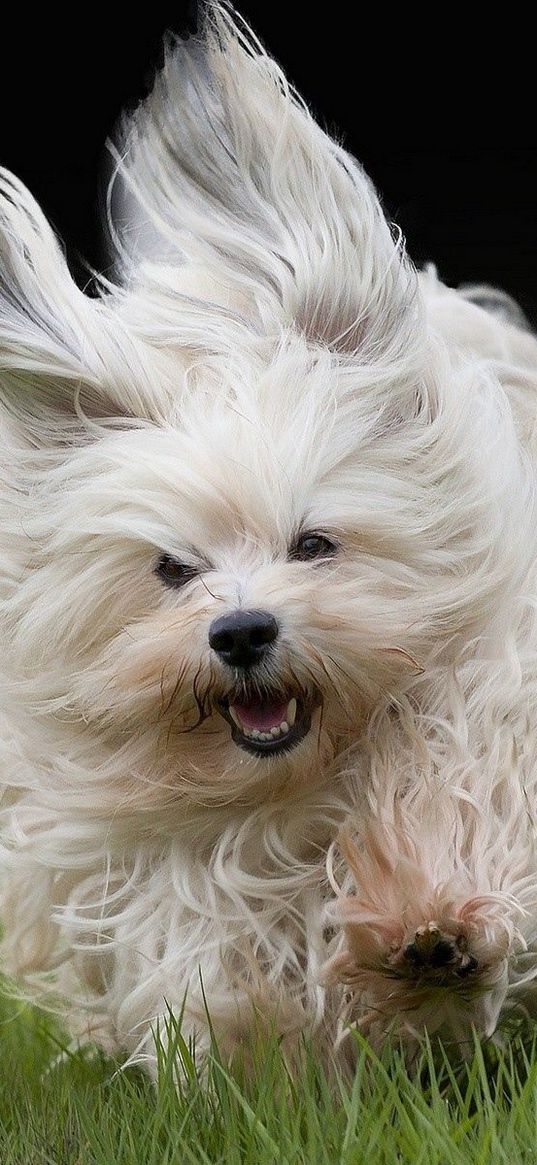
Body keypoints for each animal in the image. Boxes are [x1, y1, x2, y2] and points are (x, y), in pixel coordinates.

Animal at [1, 2, 535, 1071]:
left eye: (315, 543)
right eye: (172, 569)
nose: (242, 631)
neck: (301, 779)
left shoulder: (488, 694)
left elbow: (453, 785)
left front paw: (432, 925)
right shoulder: (145, 857)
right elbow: (208, 947)